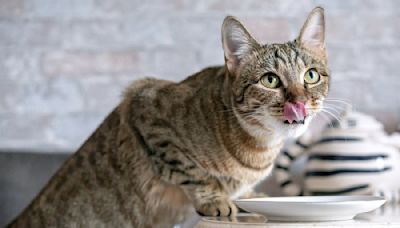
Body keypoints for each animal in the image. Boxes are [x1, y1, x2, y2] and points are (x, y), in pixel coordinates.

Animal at [7, 6, 330, 227]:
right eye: (270, 80)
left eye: (311, 75)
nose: (301, 102)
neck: (260, 147)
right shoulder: (145, 109)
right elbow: (195, 174)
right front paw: (218, 199)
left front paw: (248, 196)